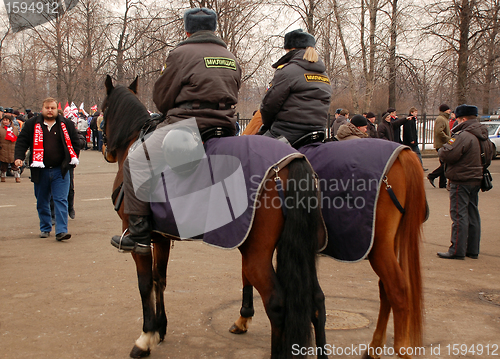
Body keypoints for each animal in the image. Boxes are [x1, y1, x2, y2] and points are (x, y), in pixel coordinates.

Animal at [101, 76, 328, 359]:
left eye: (102, 110)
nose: (106, 151)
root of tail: (291, 161)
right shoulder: (161, 237)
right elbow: (158, 279)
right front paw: (160, 328)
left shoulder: (138, 239)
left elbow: (144, 284)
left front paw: (145, 337)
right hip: (302, 249)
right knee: (316, 300)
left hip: (256, 254)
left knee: (277, 304)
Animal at [233, 115, 426, 359]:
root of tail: (404, 153)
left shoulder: (252, 238)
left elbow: (246, 273)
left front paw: (244, 316)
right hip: (388, 244)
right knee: (386, 290)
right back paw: (374, 347)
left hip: (379, 247)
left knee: (398, 290)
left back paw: (401, 348)